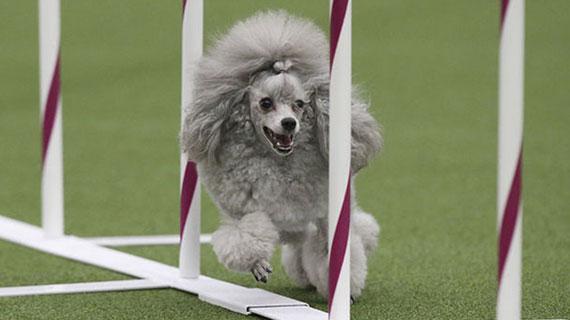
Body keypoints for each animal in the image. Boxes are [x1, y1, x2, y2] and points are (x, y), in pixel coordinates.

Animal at [180, 10, 380, 300]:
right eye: (266, 103)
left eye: (300, 104)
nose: (289, 123)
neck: (279, 163)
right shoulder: (242, 212)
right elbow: (245, 237)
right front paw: (258, 264)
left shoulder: (324, 214)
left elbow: (333, 250)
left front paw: (346, 288)